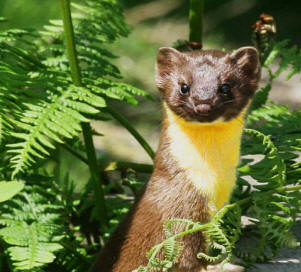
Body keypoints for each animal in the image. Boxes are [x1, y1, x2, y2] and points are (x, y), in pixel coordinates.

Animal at [90, 46, 258, 272]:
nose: (203, 104)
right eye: (184, 86)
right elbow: (185, 252)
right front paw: (221, 265)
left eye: (225, 86)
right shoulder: (179, 210)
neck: (212, 185)